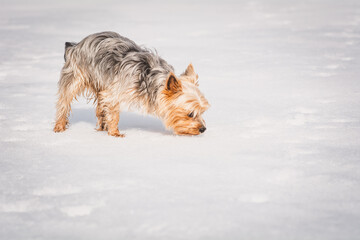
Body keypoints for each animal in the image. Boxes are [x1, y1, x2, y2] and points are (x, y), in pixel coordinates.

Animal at [54, 31, 210, 137]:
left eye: (202, 111)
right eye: (190, 114)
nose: (203, 129)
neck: (150, 79)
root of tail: (75, 46)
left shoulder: (108, 91)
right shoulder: (113, 92)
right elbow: (113, 114)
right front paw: (115, 134)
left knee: (99, 107)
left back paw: (102, 126)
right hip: (75, 76)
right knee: (64, 102)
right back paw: (59, 127)